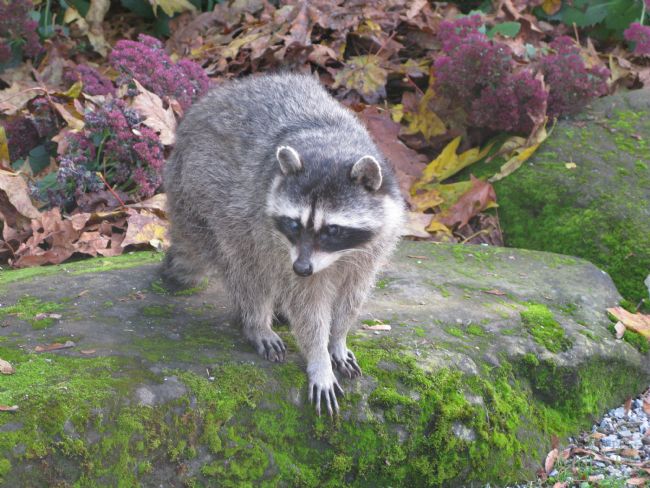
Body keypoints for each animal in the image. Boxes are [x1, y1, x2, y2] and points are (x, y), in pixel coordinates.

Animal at [163, 73, 405, 416]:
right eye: (293, 224)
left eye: (332, 230)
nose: (302, 267)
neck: (330, 145)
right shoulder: (277, 236)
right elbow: (308, 307)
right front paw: (319, 358)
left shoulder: (376, 243)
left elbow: (352, 294)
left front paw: (338, 338)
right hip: (205, 192)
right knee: (246, 267)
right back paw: (257, 321)